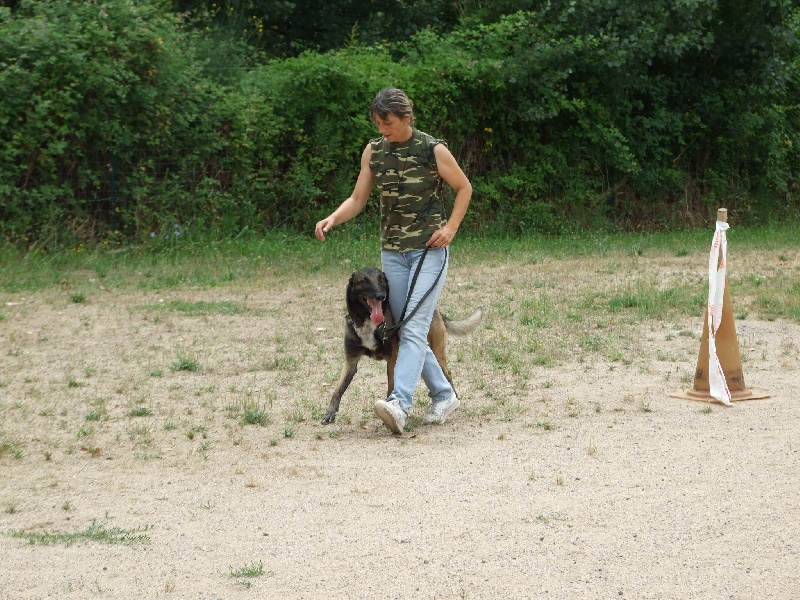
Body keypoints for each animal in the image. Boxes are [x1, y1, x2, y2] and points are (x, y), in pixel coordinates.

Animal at [318, 268, 482, 426]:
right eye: (363, 281)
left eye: (381, 279)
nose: (380, 296)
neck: (368, 323)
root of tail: (435, 310)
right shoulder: (351, 362)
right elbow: (338, 389)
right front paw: (330, 413)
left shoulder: (393, 358)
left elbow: (392, 385)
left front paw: (391, 408)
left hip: (437, 352)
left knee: (447, 372)